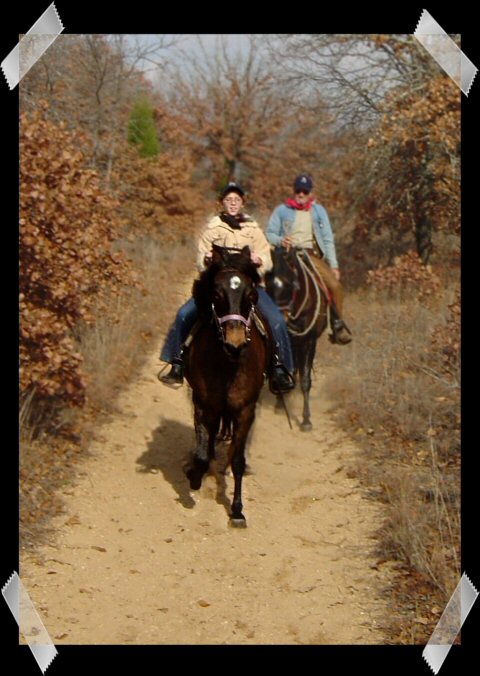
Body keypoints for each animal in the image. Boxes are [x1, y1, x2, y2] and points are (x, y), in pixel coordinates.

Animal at [183, 244, 270, 528]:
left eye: (251, 294)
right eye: (216, 294)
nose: (235, 344)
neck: (227, 364)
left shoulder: (245, 410)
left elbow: (238, 460)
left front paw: (237, 510)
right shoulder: (202, 404)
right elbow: (201, 454)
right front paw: (194, 477)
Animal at [266, 248, 330, 434]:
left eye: (292, 284)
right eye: (268, 284)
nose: (278, 319)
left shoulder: (309, 342)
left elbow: (305, 379)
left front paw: (306, 420)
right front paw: (281, 402)